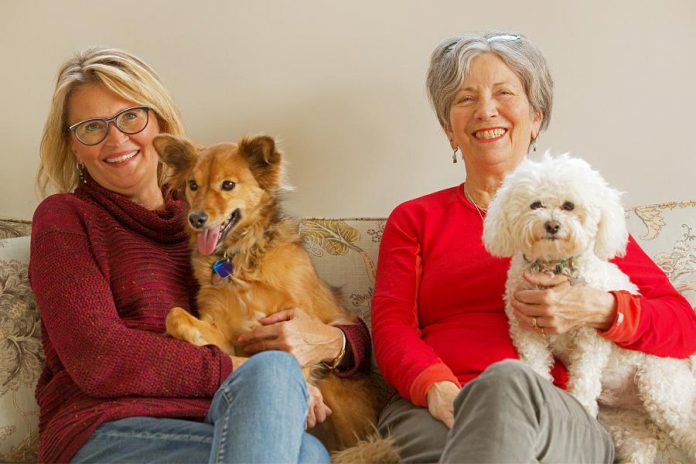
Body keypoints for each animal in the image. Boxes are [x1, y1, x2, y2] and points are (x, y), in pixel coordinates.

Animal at [154, 132, 386, 452]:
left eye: (228, 185)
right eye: (193, 184)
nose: (196, 218)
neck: (239, 259)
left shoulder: (295, 329)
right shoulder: (224, 330)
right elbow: (175, 315)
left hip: (336, 391)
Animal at [484, 154, 696, 462]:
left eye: (569, 206)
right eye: (535, 205)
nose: (552, 225)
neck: (553, 267)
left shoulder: (590, 338)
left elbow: (584, 378)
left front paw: (581, 408)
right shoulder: (526, 331)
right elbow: (536, 364)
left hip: (661, 390)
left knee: (688, 429)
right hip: (626, 426)